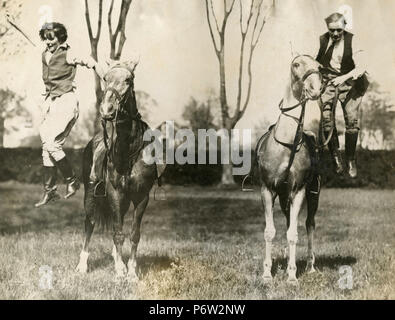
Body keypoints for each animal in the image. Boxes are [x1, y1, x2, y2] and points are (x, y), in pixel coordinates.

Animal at [75, 59, 160, 278]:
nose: (107, 109)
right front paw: (121, 271)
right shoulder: (115, 193)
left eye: (128, 79)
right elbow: (117, 232)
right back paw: (82, 266)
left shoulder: (141, 196)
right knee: (90, 224)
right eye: (105, 78)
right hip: (90, 195)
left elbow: (133, 234)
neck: (129, 150)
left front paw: (131, 272)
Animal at [256, 55, 324, 284]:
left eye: (319, 66)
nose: (315, 88)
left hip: (313, 194)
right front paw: (267, 274)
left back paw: (310, 266)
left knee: (309, 224)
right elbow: (270, 232)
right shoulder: (267, 190)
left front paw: (293, 276)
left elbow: (294, 234)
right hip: (284, 198)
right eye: (296, 65)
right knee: (287, 223)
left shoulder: (299, 191)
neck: (287, 143)